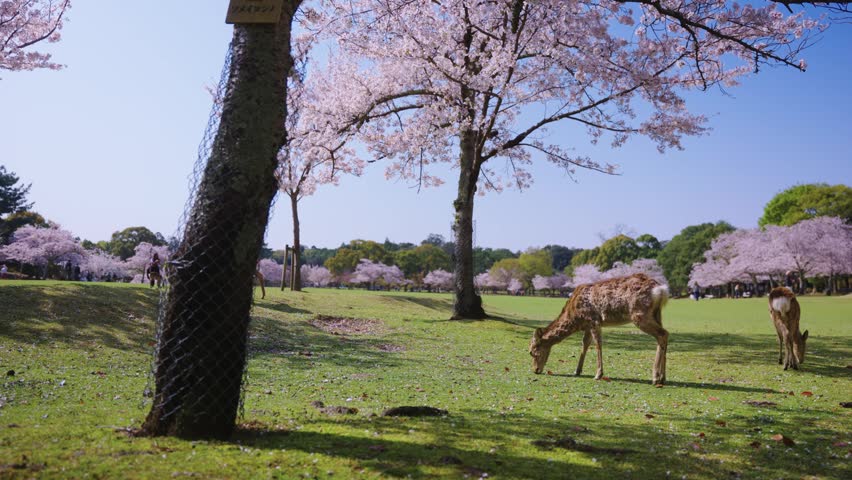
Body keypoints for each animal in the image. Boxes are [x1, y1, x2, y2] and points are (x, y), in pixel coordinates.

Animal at [529, 273, 670, 385]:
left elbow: (598, 344)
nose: (535, 370)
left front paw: (598, 374)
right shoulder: (587, 325)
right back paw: (662, 377)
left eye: (532, 351)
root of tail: (661, 290)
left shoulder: (593, 320)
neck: (575, 317)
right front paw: (577, 371)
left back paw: (655, 377)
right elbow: (585, 344)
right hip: (657, 315)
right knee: (665, 335)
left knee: (662, 334)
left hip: (639, 315)